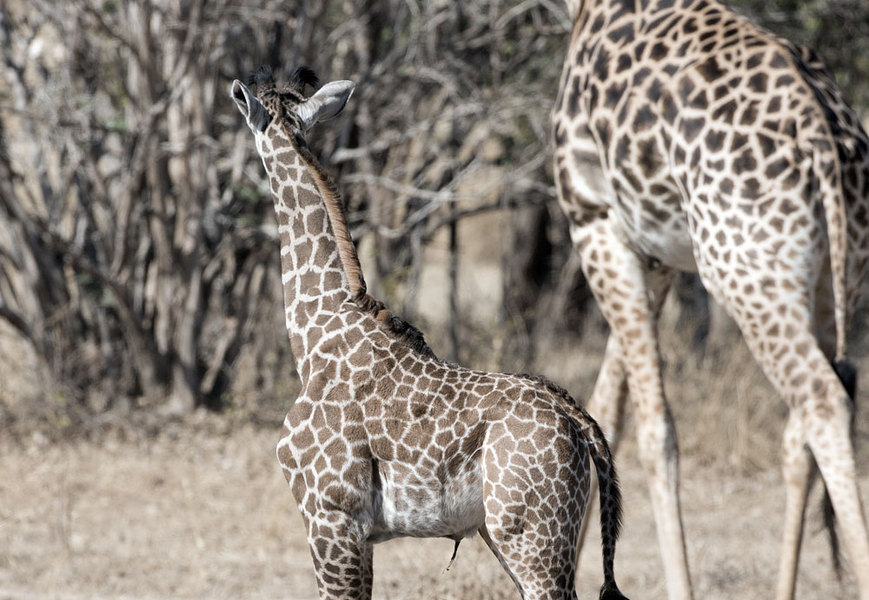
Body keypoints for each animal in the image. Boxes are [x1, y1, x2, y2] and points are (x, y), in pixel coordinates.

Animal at [231, 68, 624, 600]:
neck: (316, 335)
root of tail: (581, 425)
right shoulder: (358, 534)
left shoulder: (331, 517)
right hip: (516, 535)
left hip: (532, 539)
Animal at [552, 1, 864, 600]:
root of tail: (822, 135)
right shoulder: (653, 257)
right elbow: (605, 410)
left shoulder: (596, 223)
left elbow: (656, 433)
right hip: (829, 279)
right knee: (801, 425)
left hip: (745, 275)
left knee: (822, 399)